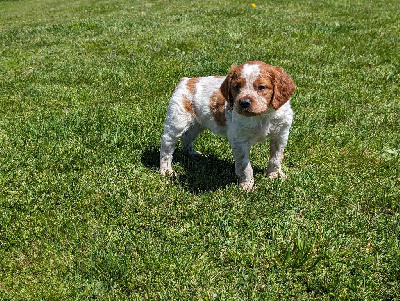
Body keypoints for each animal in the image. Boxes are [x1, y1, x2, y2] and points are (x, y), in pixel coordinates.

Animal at [161, 59, 296, 189]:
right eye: (236, 87)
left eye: (261, 87)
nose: (244, 103)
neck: (262, 116)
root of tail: (186, 80)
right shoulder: (239, 140)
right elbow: (245, 166)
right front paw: (247, 186)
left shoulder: (281, 135)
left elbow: (276, 158)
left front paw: (274, 176)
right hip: (177, 121)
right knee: (167, 147)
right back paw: (166, 171)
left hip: (197, 124)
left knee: (187, 137)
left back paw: (193, 154)